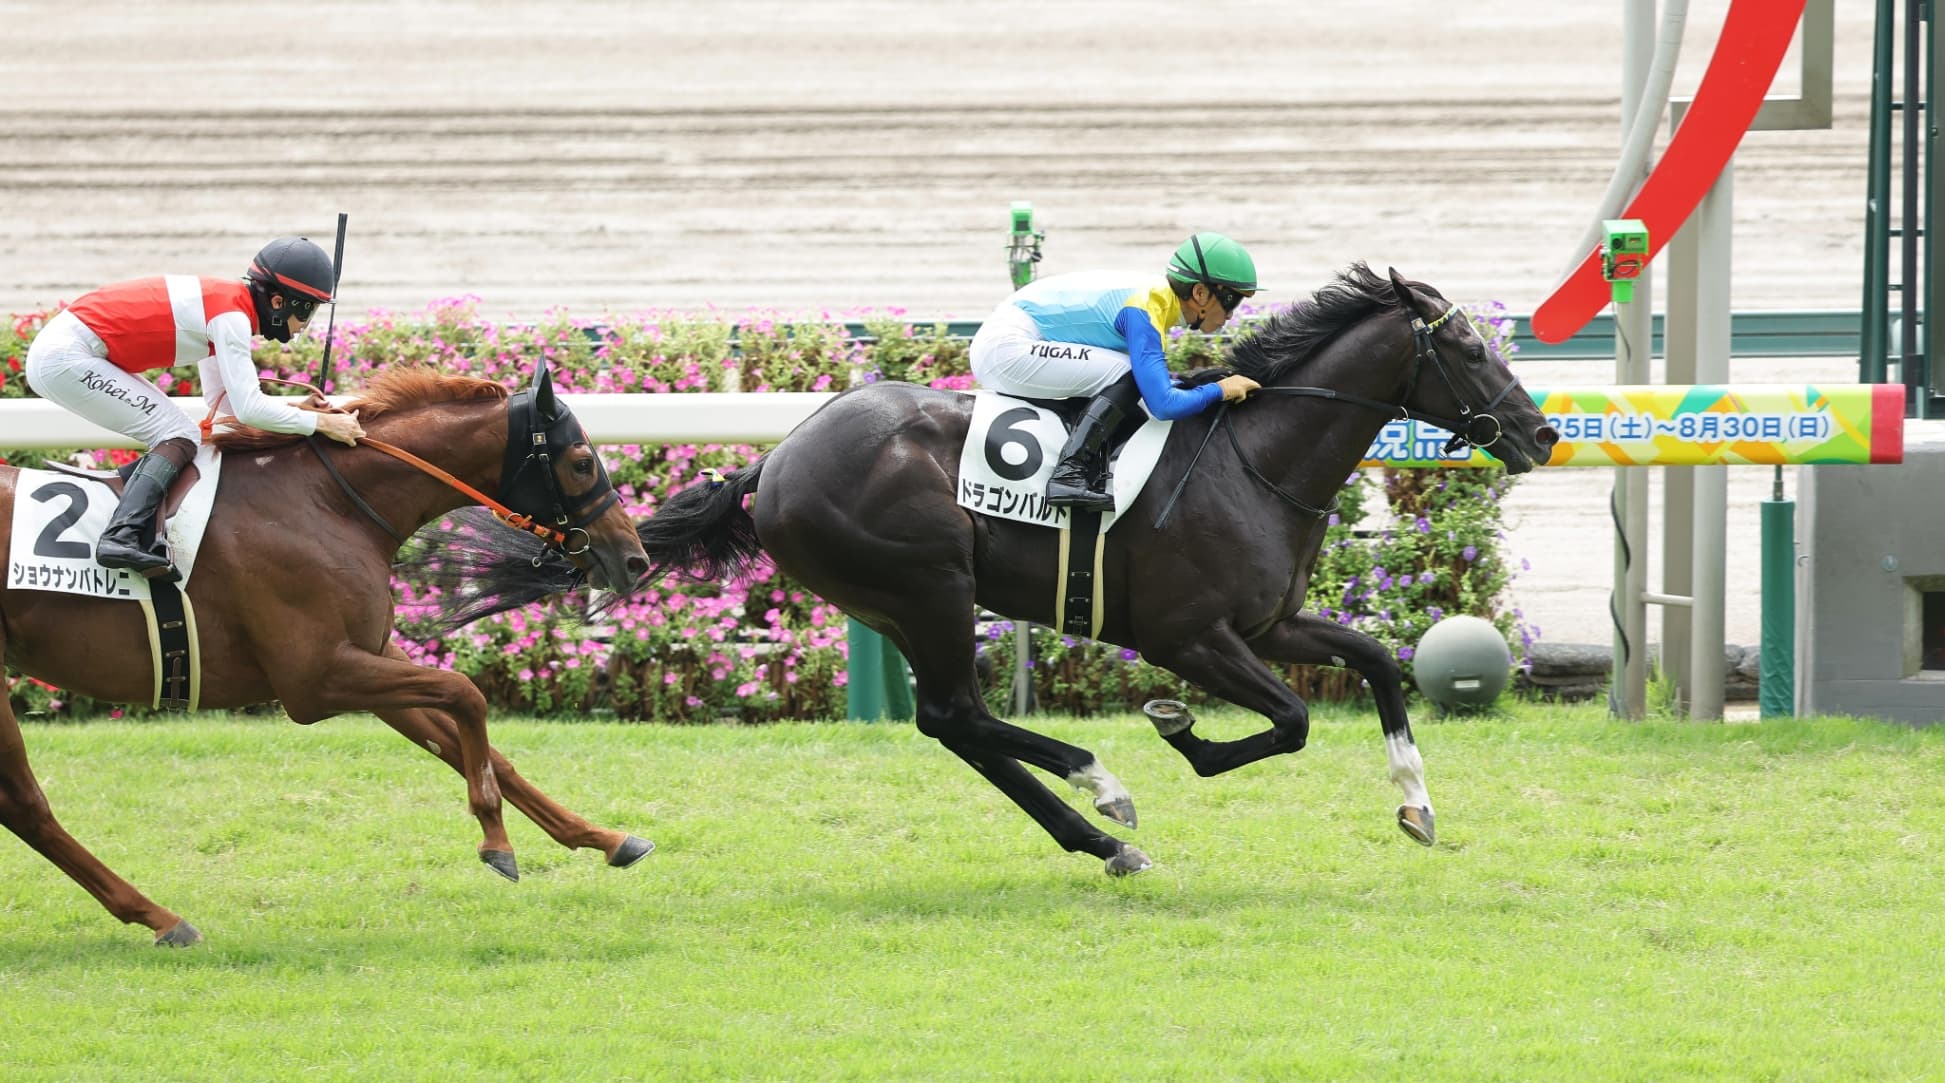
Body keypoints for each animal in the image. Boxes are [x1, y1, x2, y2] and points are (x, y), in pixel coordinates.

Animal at [0, 361, 653, 945]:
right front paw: (495, 839)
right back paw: (159, 917)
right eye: (581, 462)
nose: (635, 560)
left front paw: (605, 838)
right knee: (26, 805)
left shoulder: (367, 656)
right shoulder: (314, 679)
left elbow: (474, 743)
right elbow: (467, 693)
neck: (326, 501)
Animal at [466, 264, 1559, 876]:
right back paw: (1105, 793)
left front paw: (1416, 804)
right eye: (1468, 348)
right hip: (927, 585)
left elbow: (1373, 664)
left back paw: (1105, 840)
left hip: (901, 603)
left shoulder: (1265, 624)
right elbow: (1287, 721)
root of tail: (775, 460)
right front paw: (1178, 732)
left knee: (955, 724)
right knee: (959, 715)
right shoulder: (1188, 636)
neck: (1254, 459)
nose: (1543, 434)